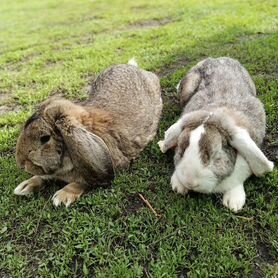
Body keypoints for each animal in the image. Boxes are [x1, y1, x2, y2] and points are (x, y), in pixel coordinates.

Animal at [159, 57, 274, 212]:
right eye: (180, 152)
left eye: (216, 157)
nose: (190, 183)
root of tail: (216, 58)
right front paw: (178, 185)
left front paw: (233, 202)